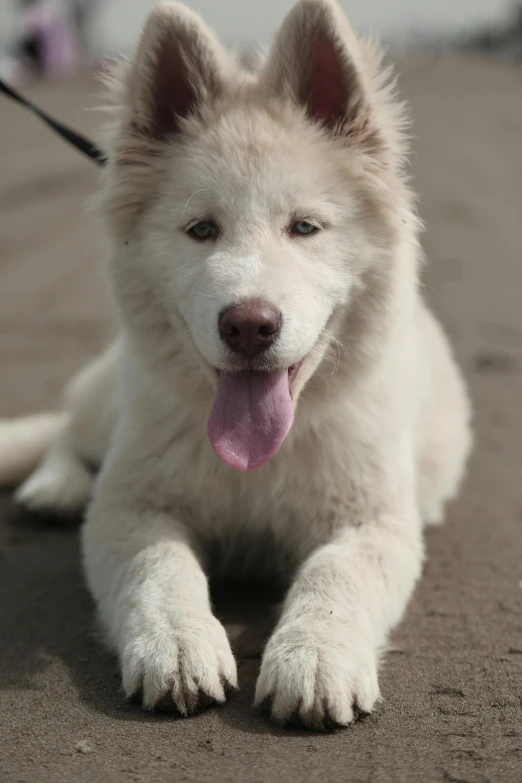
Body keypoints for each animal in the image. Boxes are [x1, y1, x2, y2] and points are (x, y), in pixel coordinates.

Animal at [0, 0, 470, 728]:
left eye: (304, 227)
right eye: (201, 230)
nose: (249, 325)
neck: (259, 461)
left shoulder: (374, 522)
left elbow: (335, 575)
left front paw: (314, 657)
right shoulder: (131, 507)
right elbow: (159, 567)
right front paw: (177, 643)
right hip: (116, 397)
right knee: (66, 430)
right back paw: (55, 487)